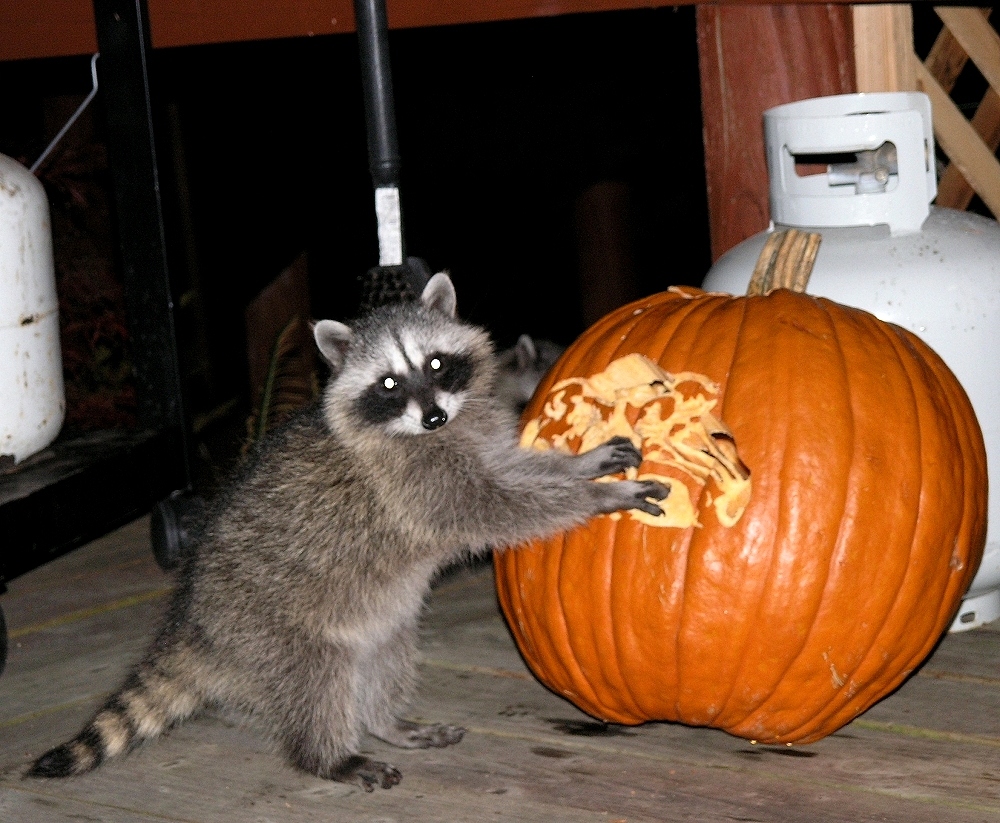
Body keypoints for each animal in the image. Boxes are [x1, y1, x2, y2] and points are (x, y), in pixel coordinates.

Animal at [27, 273, 668, 791]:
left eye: (437, 364)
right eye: (388, 384)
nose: (434, 415)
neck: (438, 429)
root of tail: (194, 622)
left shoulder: (475, 434)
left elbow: (515, 473)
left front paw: (581, 465)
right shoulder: (411, 484)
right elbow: (493, 508)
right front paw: (596, 498)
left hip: (378, 619)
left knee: (385, 657)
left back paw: (384, 723)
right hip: (274, 629)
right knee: (318, 682)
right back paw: (329, 756)